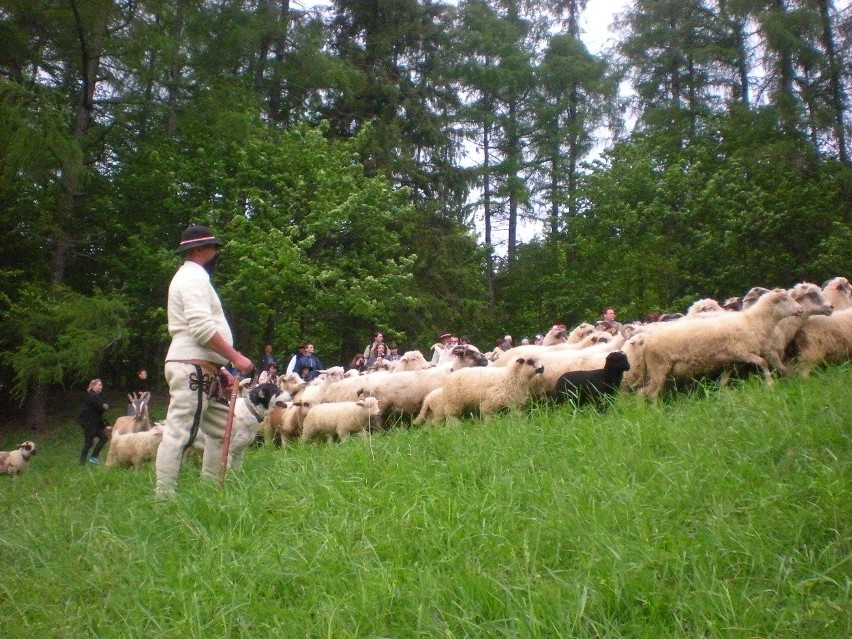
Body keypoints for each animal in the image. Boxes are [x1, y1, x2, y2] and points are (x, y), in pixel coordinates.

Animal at [414, 356, 544, 424]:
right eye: (530, 361)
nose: (542, 368)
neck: (510, 377)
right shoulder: (489, 402)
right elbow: (487, 414)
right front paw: (489, 425)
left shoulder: (514, 403)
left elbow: (518, 414)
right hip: (454, 403)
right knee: (451, 416)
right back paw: (456, 427)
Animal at [636, 288, 804, 398]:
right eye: (784, 299)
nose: (801, 309)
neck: (752, 322)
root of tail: (646, 343)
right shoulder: (742, 352)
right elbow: (763, 362)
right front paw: (770, 384)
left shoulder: (731, 360)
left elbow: (724, 380)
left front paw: (722, 395)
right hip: (659, 367)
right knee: (649, 393)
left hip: (661, 370)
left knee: (644, 393)